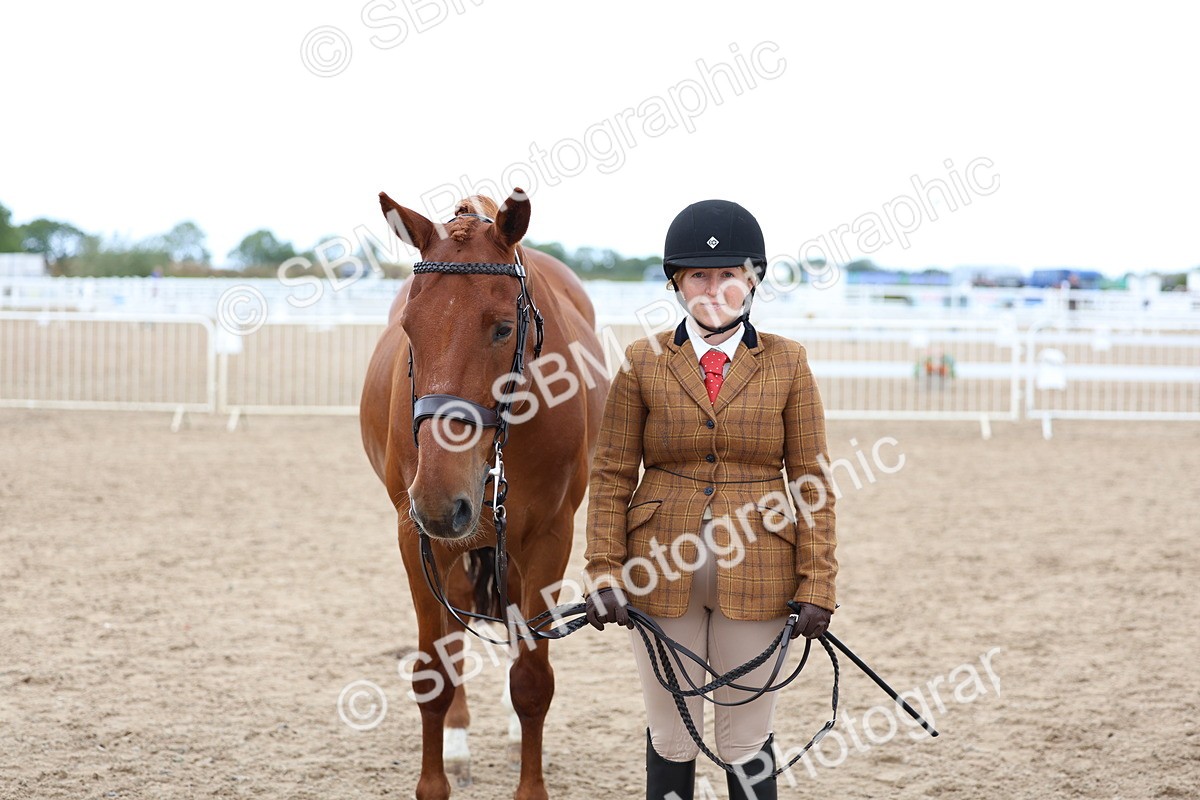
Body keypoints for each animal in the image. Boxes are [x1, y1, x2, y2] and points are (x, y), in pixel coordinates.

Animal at [360, 188, 606, 800]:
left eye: (500, 328)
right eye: (410, 328)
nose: (440, 501)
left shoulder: (548, 538)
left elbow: (533, 679)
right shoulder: (417, 539)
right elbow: (433, 672)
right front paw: (436, 778)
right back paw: (458, 741)